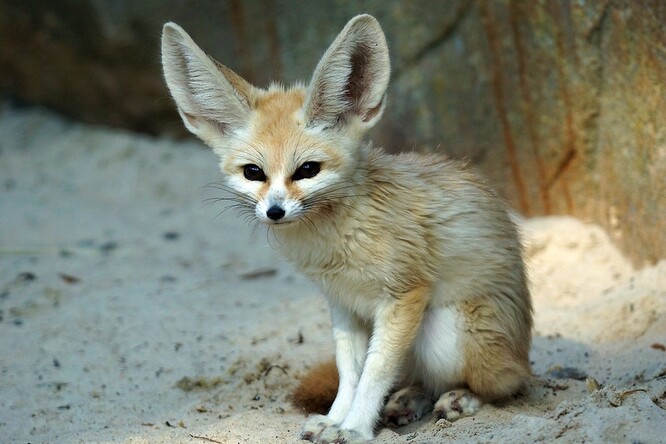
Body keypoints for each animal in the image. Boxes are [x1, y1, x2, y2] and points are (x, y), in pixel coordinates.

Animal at [161, 13, 528, 444]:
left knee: (508, 383)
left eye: (307, 170)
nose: (274, 211)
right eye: (254, 173)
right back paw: (411, 400)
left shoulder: (404, 296)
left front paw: (354, 428)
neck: (335, 240)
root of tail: (523, 351)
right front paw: (335, 420)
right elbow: (349, 372)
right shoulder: (342, 304)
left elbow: (374, 373)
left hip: (446, 332)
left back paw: (463, 397)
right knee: (423, 379)